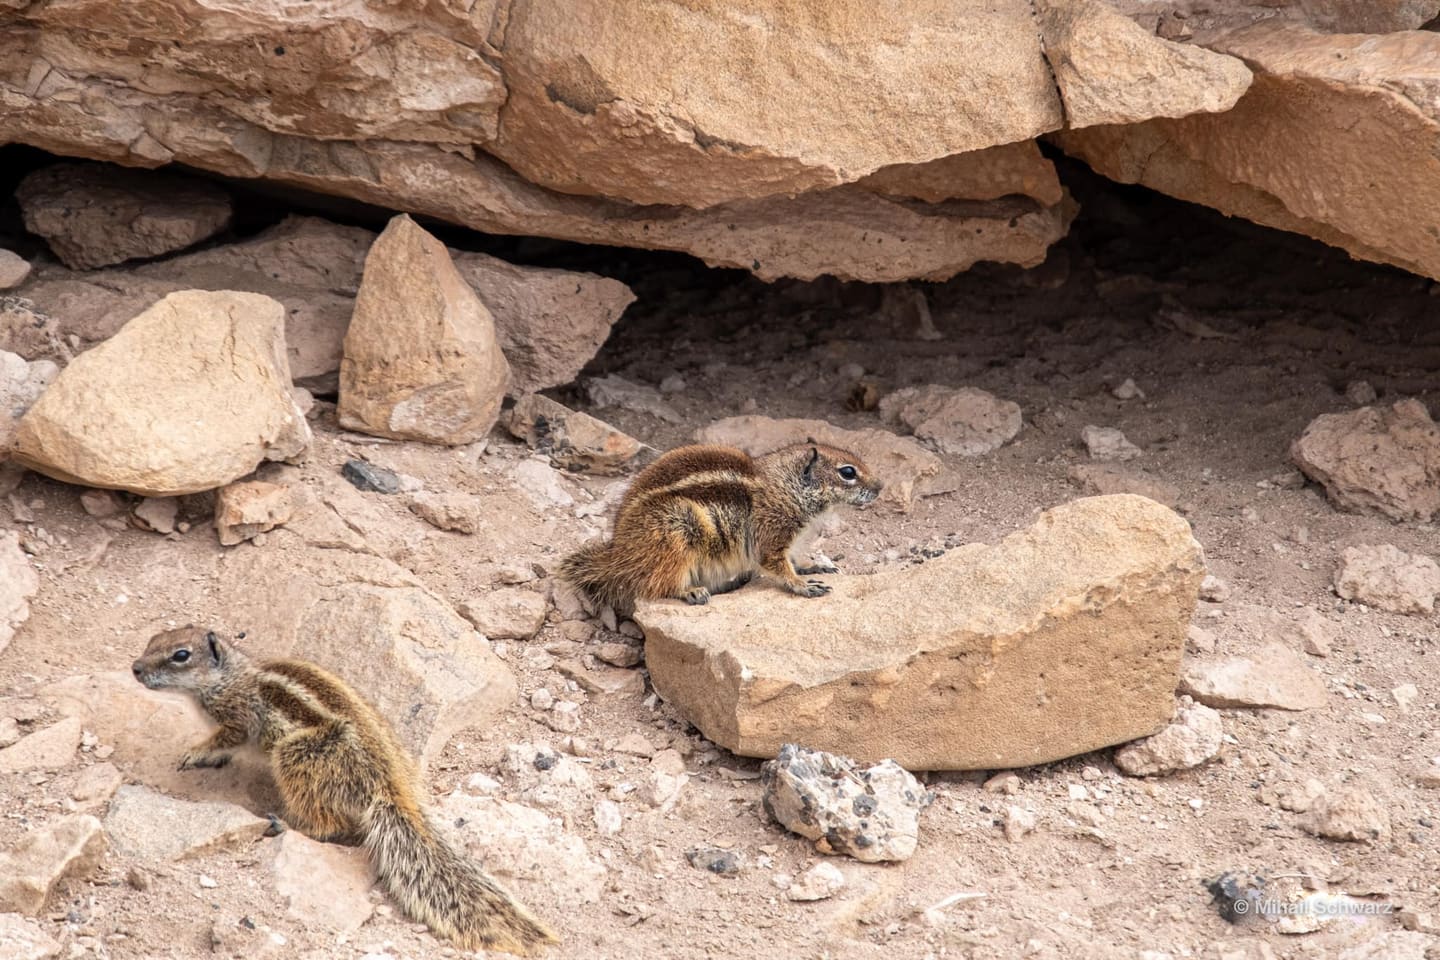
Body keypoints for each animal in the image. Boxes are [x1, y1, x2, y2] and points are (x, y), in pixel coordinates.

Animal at [132, 626, 556, 957]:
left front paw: (196, 752)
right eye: (152, 639)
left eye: (180, 655)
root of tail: (389, 785)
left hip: (296, 756)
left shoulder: (238, 719)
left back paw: (285, 823)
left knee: (328, 825)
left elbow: (225, 737)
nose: (135, 667)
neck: (232, 675)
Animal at [560, 441, 881, 611]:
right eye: (848, 472)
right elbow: (778, 566)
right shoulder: (771, 534)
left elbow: (794, 560)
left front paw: (815, 566)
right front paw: (803, 585)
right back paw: (691, 591)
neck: (786, 485)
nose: (880, 487)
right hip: (676, 534)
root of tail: (618, 555)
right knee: (658, 584)